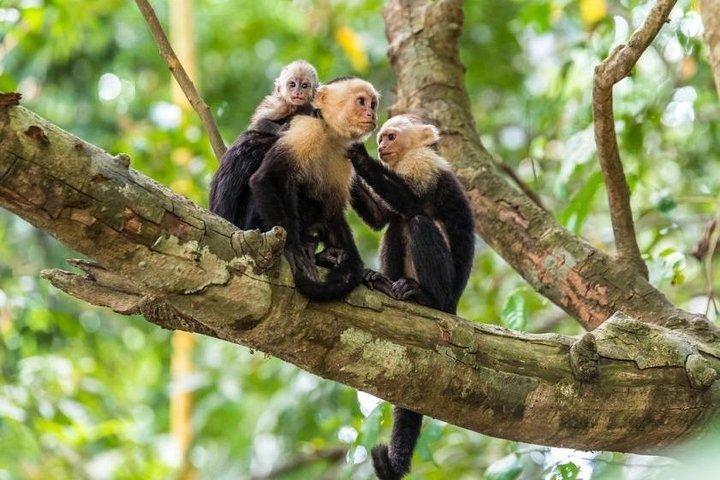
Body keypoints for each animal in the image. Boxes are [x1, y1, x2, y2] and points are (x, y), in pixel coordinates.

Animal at [249, 76, 392, 301]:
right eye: (361, 102)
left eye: (373, 104)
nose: (371, 114)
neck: (330, 133)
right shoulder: (306, 130)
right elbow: (267, 179)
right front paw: (293, 249)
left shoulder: (345, 155)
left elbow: (333, 210)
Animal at [347, 114, 475, 480]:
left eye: (390, 137)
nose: (380, 146)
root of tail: (454, 305)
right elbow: (382, 219)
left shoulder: (424, 163)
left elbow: (412, 202)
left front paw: (358, 157)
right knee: (396, 226)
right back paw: (384, 283)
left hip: (447, 291)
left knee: (416, 220)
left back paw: (425, 298)